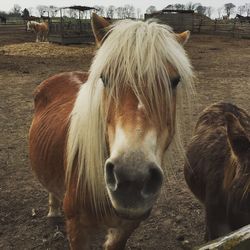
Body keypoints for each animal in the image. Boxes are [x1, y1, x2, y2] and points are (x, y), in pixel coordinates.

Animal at [28, 14, 193, 250]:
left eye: (175, 80)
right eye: (105, 78)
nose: (132, 180)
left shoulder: (125, 227)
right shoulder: (77, 228)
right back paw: (53, 212)